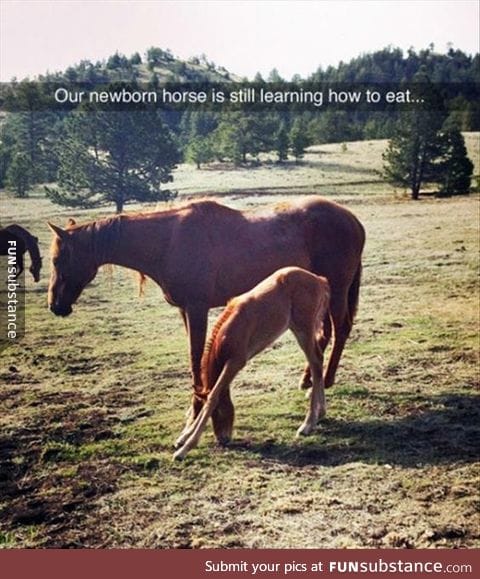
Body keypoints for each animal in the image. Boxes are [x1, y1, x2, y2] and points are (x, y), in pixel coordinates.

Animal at [47, 197, 364, 428]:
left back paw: (325, 382)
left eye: (58, 259)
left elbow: (195, 357)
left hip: (336, 291)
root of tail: (353, 221)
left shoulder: (197, 308)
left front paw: (196, 409)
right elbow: (195, 360)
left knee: (340, 330)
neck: (168, 241)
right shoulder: (185, 311)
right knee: (325, 335)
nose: (55, 305)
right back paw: (310, 379)